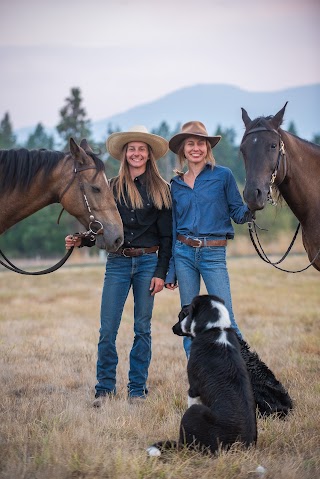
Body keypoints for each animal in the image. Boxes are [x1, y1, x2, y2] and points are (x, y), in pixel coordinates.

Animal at [148, 294, 258, 456]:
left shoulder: (193, 389)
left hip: (193, 414)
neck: (215, 328)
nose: (173, 328)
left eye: (182, 315)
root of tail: (237, 446)